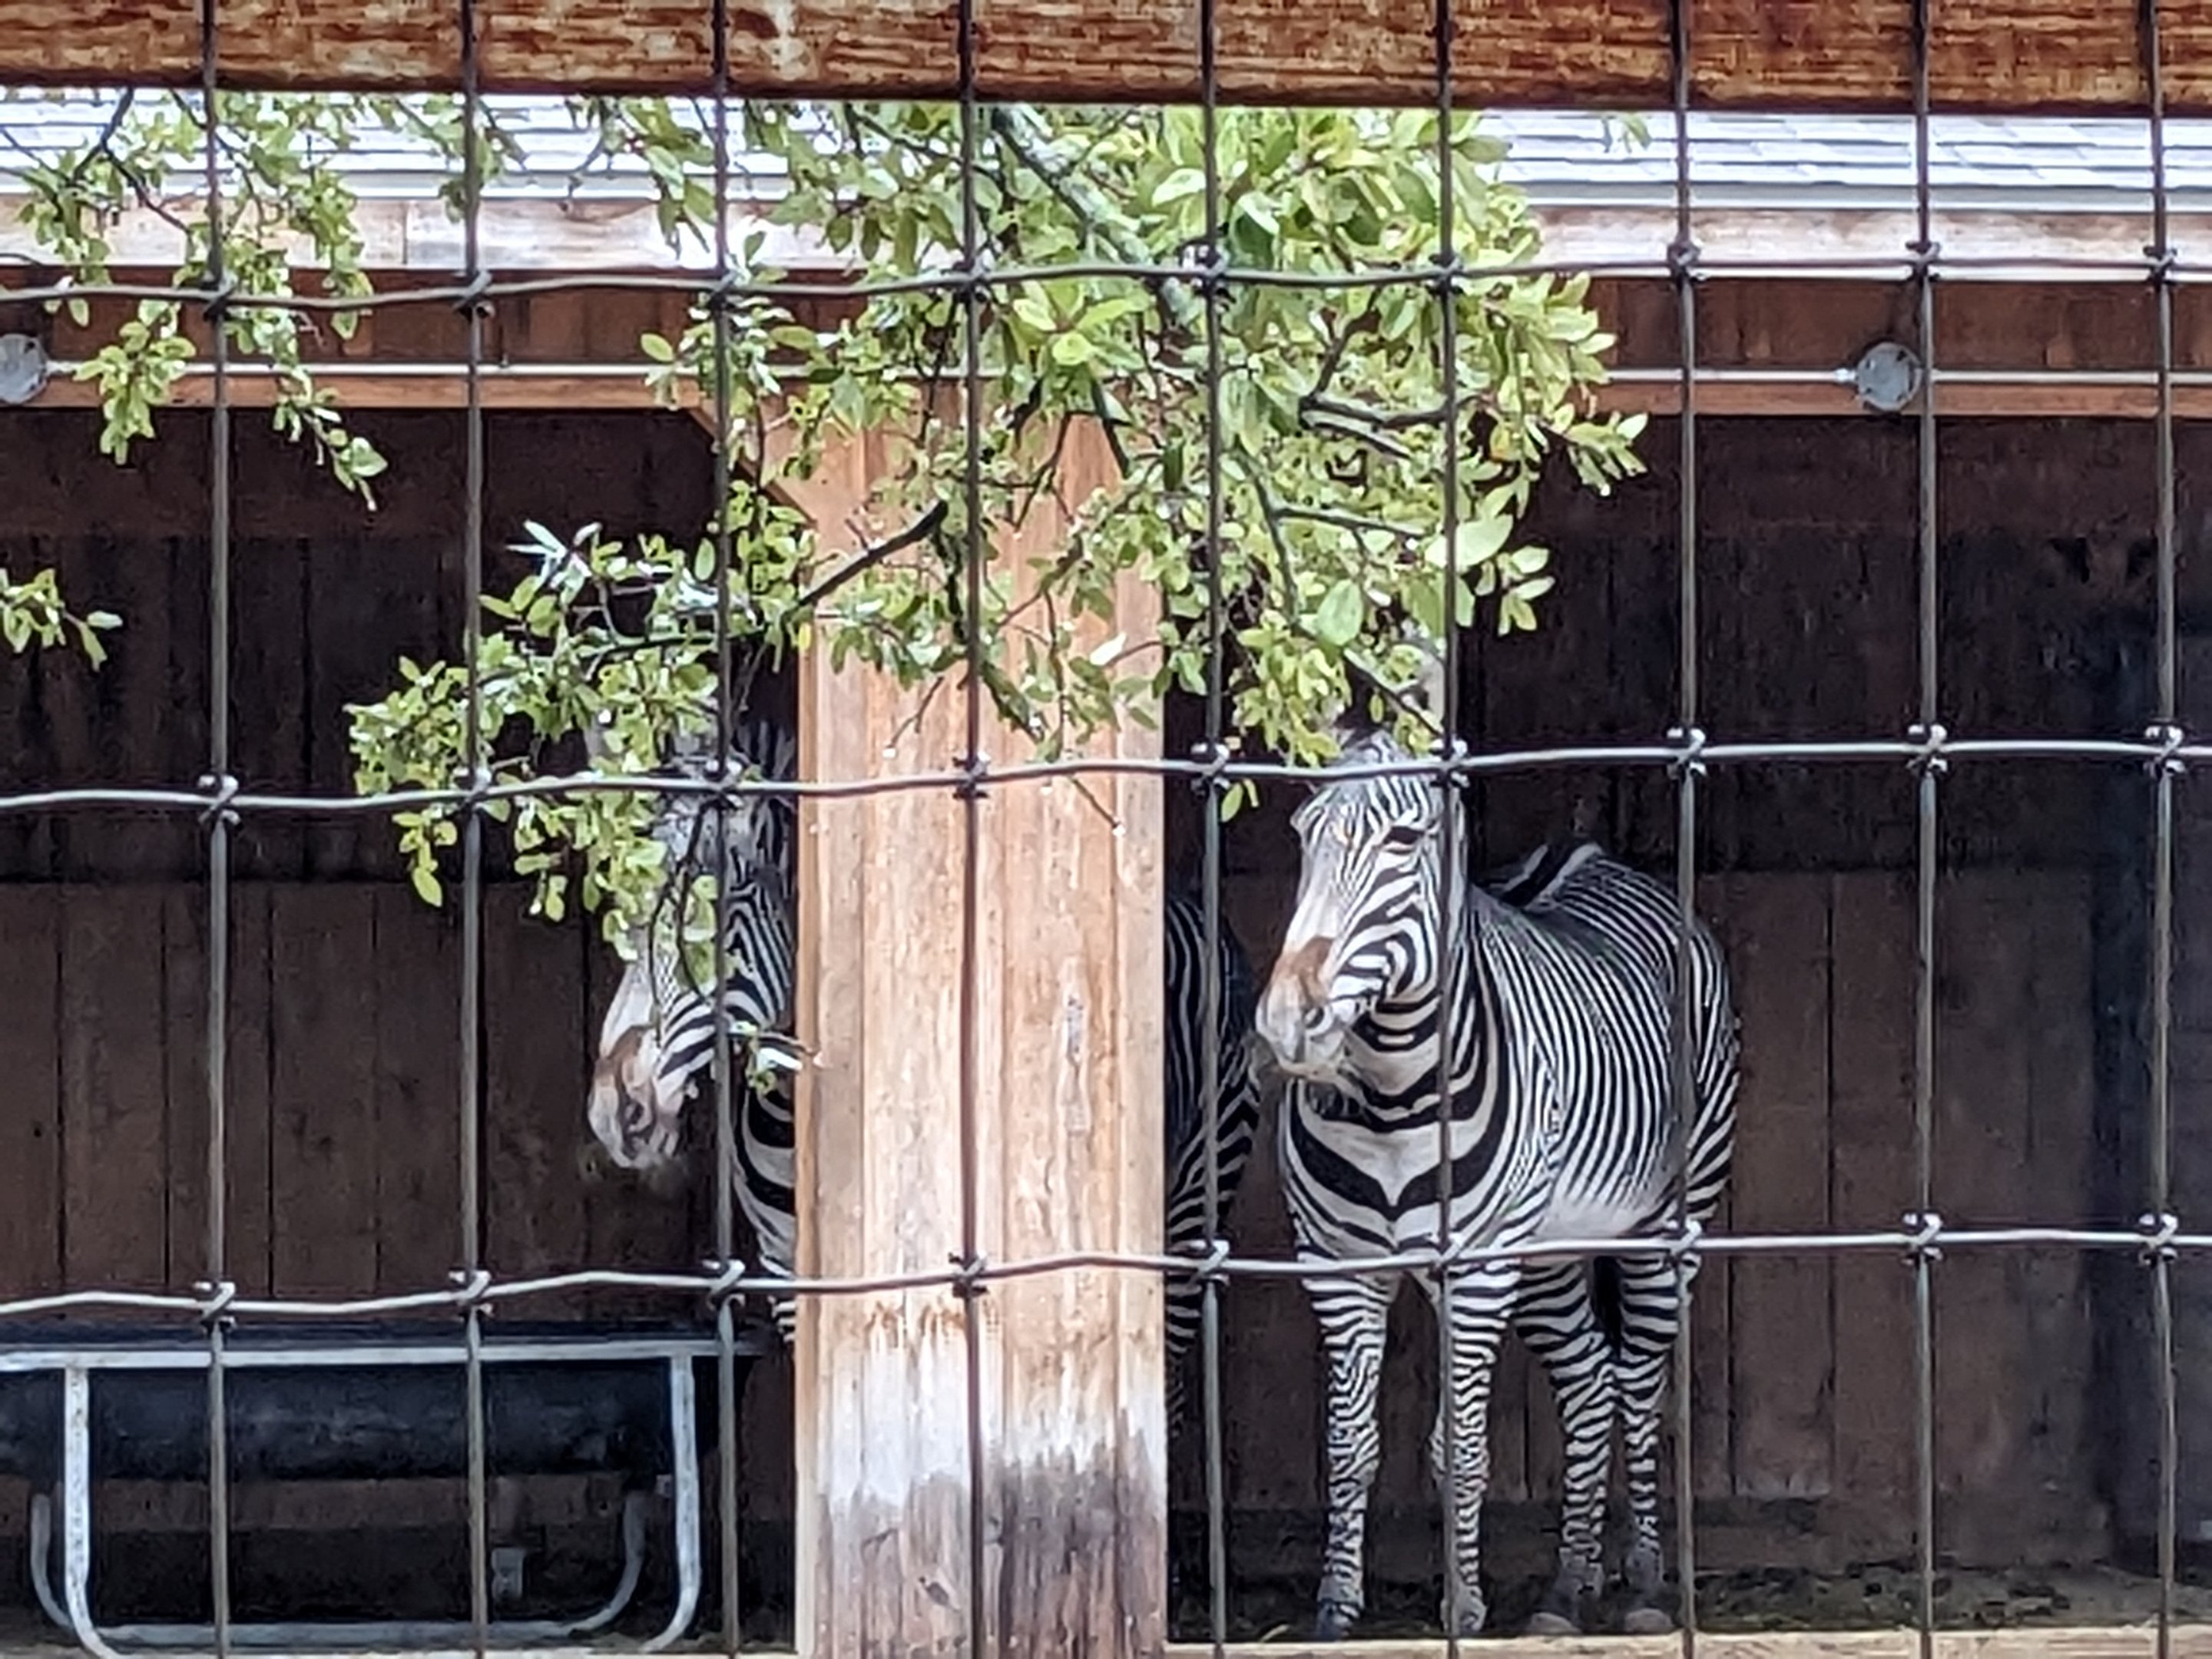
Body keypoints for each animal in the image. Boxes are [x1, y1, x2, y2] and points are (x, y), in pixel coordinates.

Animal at [586, 718, 1265, 1424]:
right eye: (619, 905)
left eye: (712, 905)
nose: (615, 1111)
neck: (792, 1124)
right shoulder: (783, 1268)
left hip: (1195, 1192)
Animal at [1253, 703, 1740, 1641]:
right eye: (1301, 834)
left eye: (1404, 840)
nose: (1291, 1022)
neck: (1394, 1097)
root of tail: (1591, 856)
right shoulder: (1336, 1267)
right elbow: (1351, 1445)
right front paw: (1336, 1608)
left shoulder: (1476, 1272)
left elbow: (1463, 1448)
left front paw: (1464, 1603)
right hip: (1547, 1253)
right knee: (1588, 1381)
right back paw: (1565, 1589)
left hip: (1667, 1225)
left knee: (1638, 1385)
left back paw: (1645, 1585)